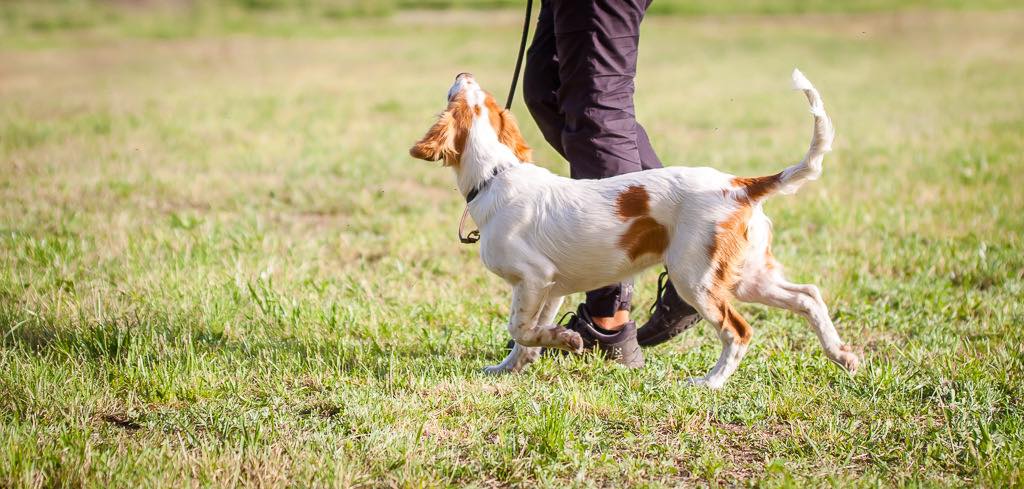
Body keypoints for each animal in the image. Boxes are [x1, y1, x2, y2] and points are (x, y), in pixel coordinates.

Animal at [407, 69, 856, 388]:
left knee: (739, 331)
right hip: (744, 274)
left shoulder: (533, 277)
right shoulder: (549, 287)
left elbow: (519, 327)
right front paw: (511, 367)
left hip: (696, 278)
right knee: (808, 296)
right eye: (484, 99)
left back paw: (710, 383)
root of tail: (739, 185)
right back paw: (843, 356)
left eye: (461, 94)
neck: (495, 175)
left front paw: (568, 341)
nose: (463, 73)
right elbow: (528, 334)